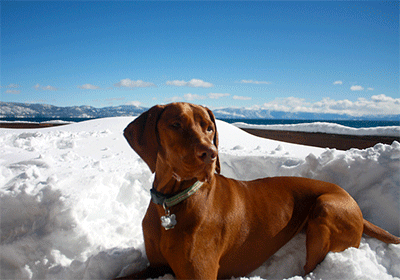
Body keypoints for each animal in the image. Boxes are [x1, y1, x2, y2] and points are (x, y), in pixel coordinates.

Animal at [119, 103, 400, 280]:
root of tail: (359, 209)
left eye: (209, 127)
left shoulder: (198, 273)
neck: (172, 201)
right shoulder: (156, 266)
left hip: (326, 207)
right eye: (175, 124)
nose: (211, 154)